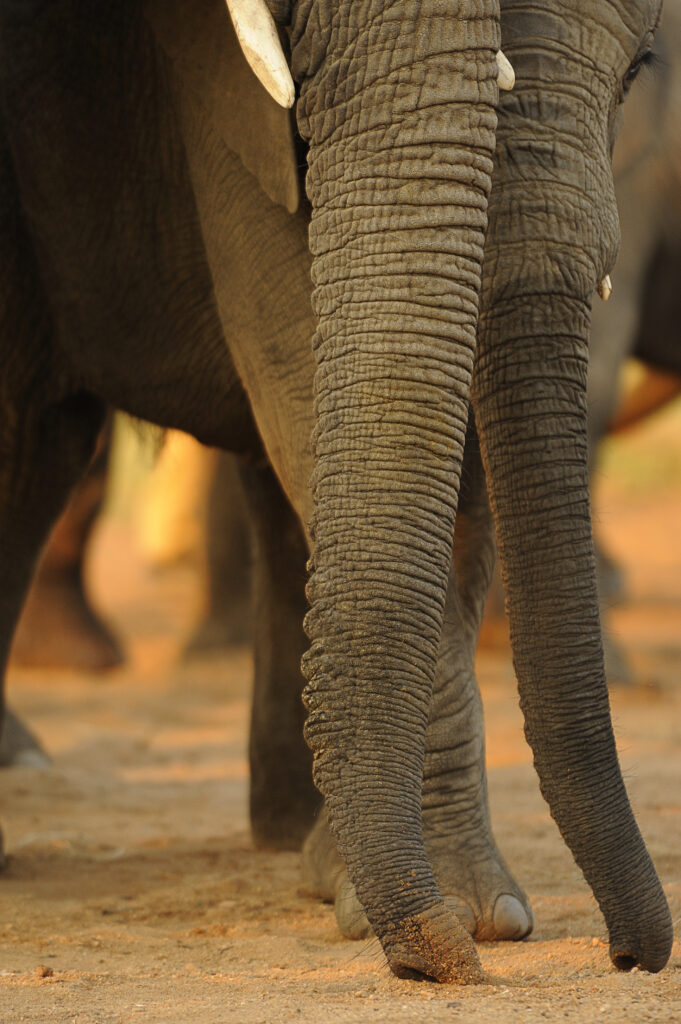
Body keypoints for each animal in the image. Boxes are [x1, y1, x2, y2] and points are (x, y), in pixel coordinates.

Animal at [0, 0, 667, 978]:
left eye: (635, 72)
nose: (631, 956)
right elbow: (296, 327)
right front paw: (454, 927)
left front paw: (470, 916)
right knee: (30, 435)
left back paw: (301, 849)